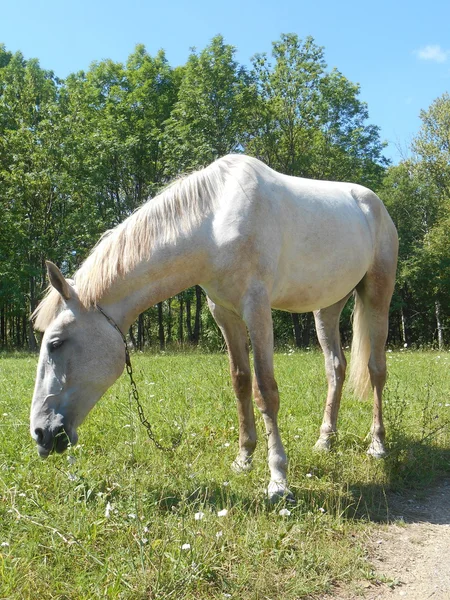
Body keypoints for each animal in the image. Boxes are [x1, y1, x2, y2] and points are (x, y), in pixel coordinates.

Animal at [30, 154, 398, 502]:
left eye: (56, 343)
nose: (40, 433)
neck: (214, 223)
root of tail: (374, 204)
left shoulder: (257, 308)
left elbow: (265, 391)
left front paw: (278, 480)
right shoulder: (224, 313)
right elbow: (241, 382)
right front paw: (244, 458)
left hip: (378, 294)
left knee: (376, 370)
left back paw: (377, 445)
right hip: (327, 307)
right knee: (335, 368)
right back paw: (325, 440)